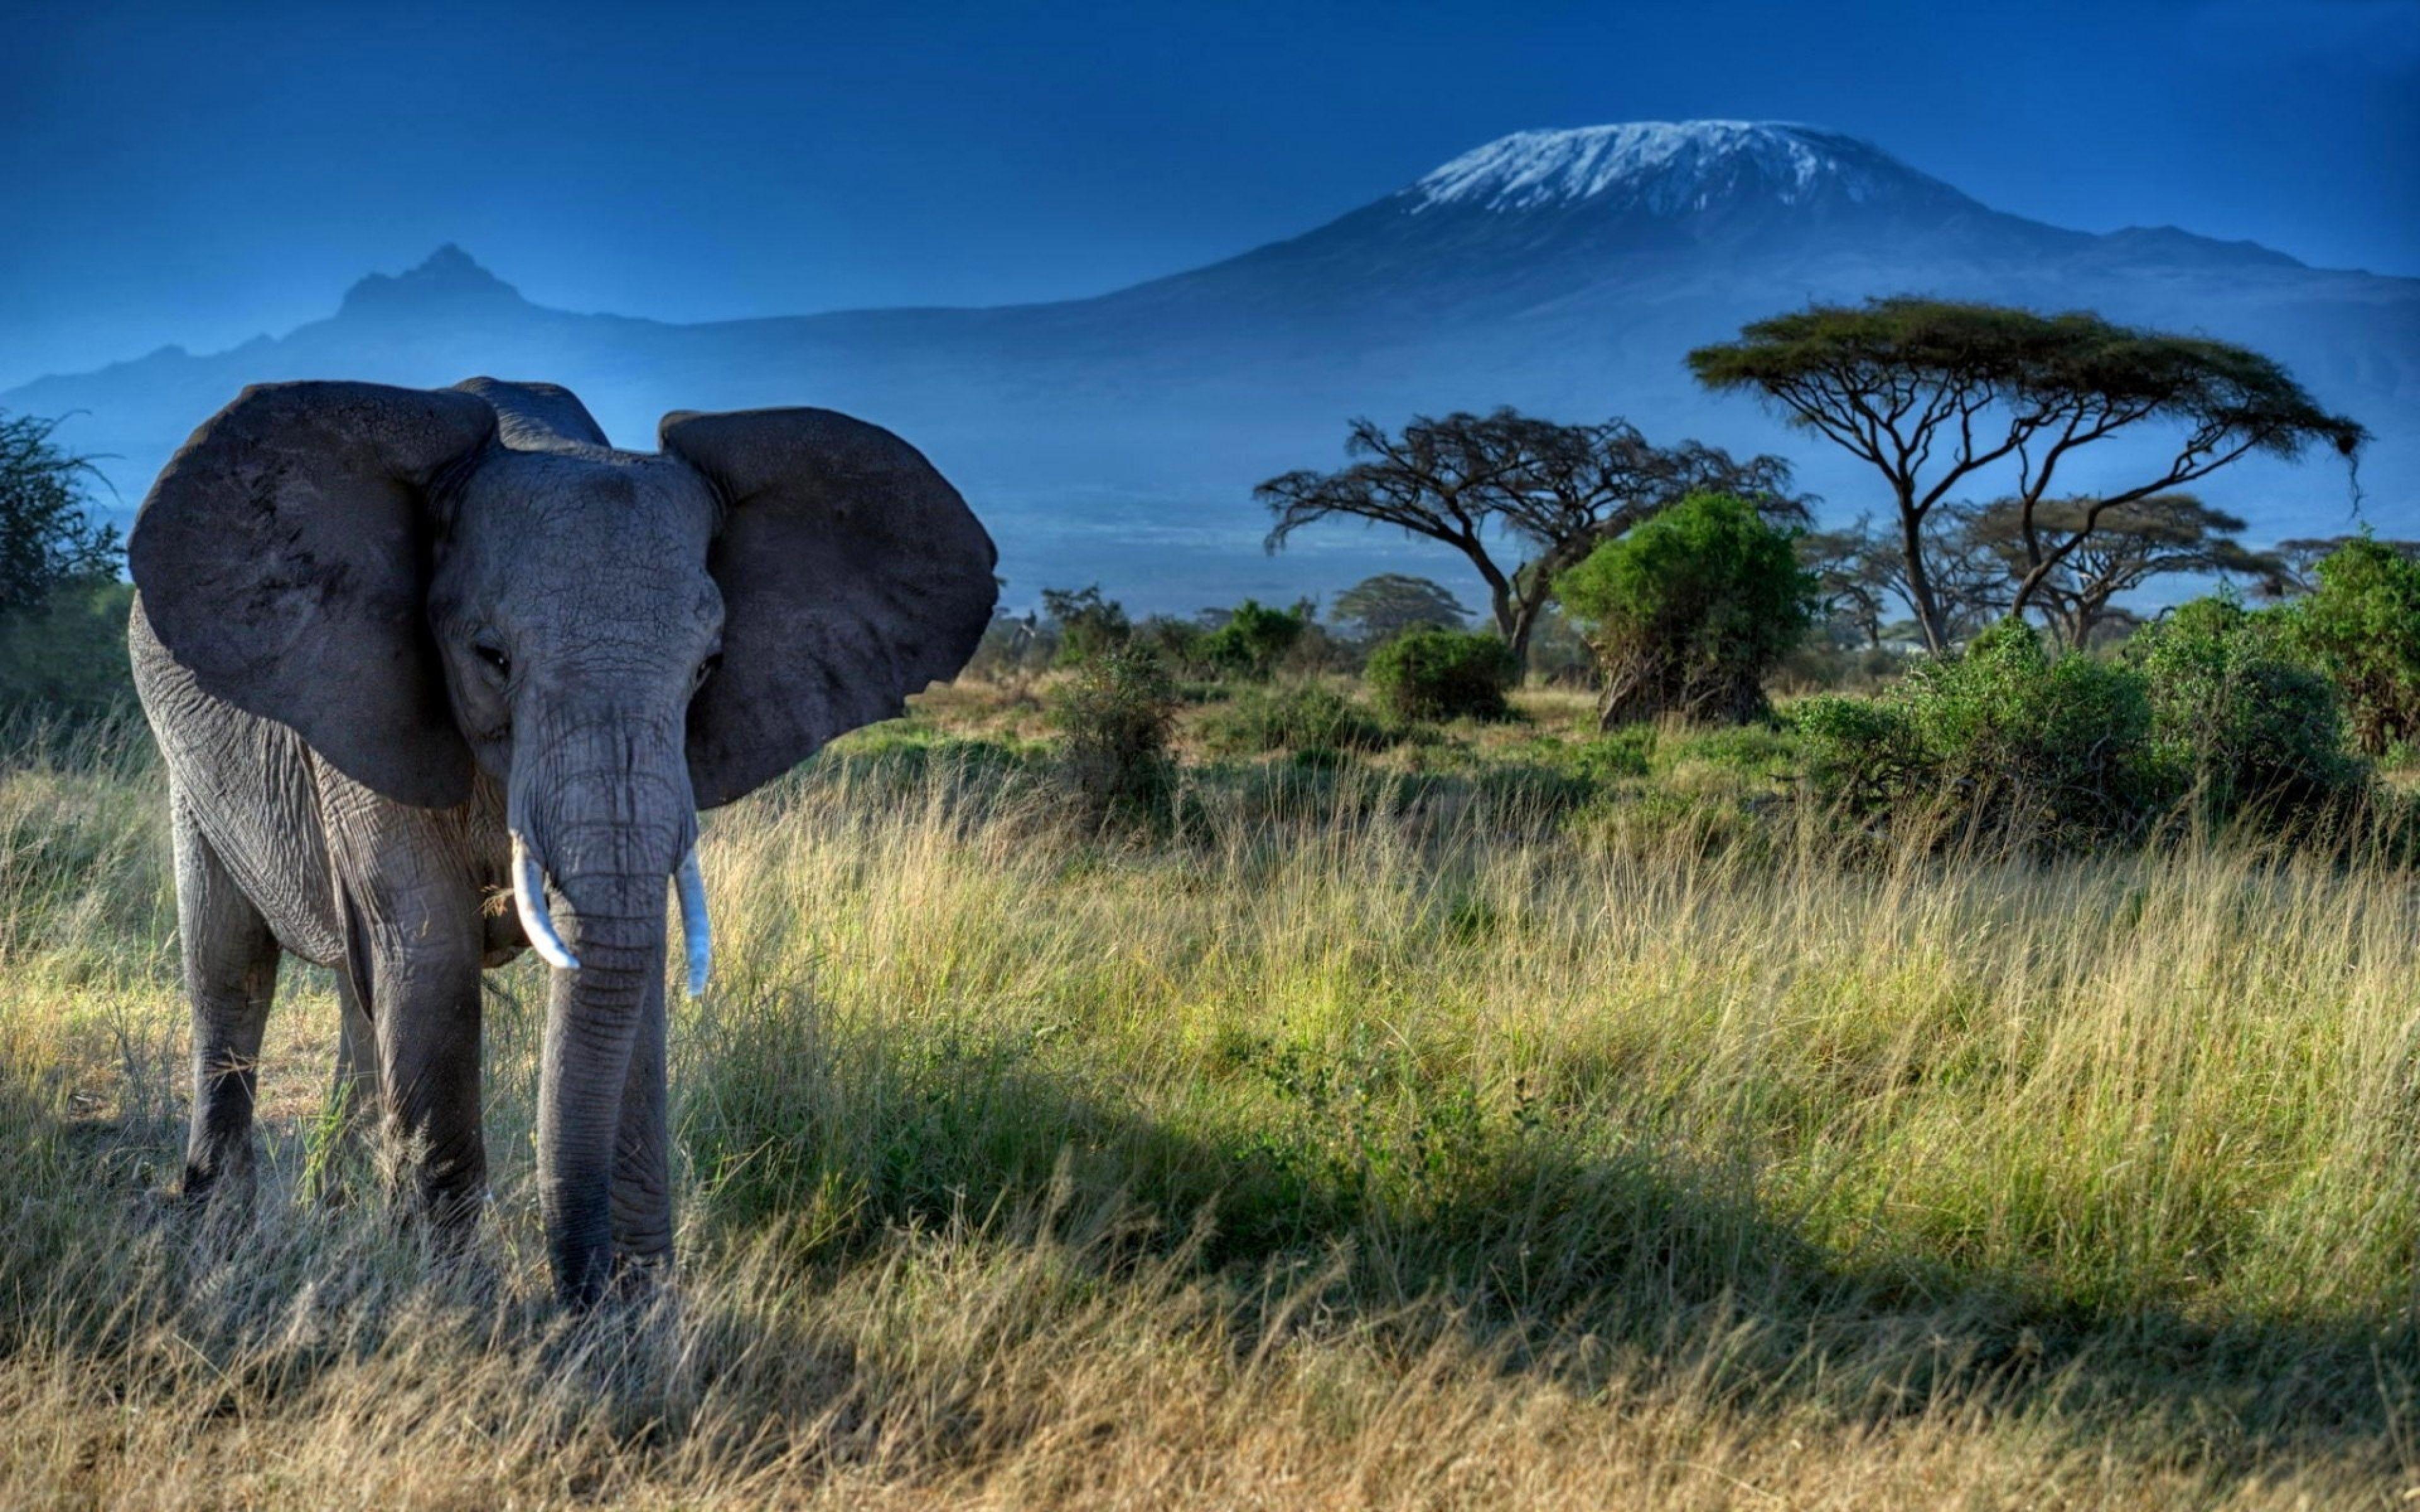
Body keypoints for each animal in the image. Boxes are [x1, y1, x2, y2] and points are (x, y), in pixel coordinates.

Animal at [127, 376, 997, 1305]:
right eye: (491, 656)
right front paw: (449, 1309)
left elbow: (628, 971)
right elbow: (430, 953)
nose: (576, 1298)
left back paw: (338, 1211)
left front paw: (639, 1321)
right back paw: (219, 1230)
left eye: (707, 668)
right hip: (189, 753)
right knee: (231, 963)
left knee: (359, 990)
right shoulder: (361, 695)